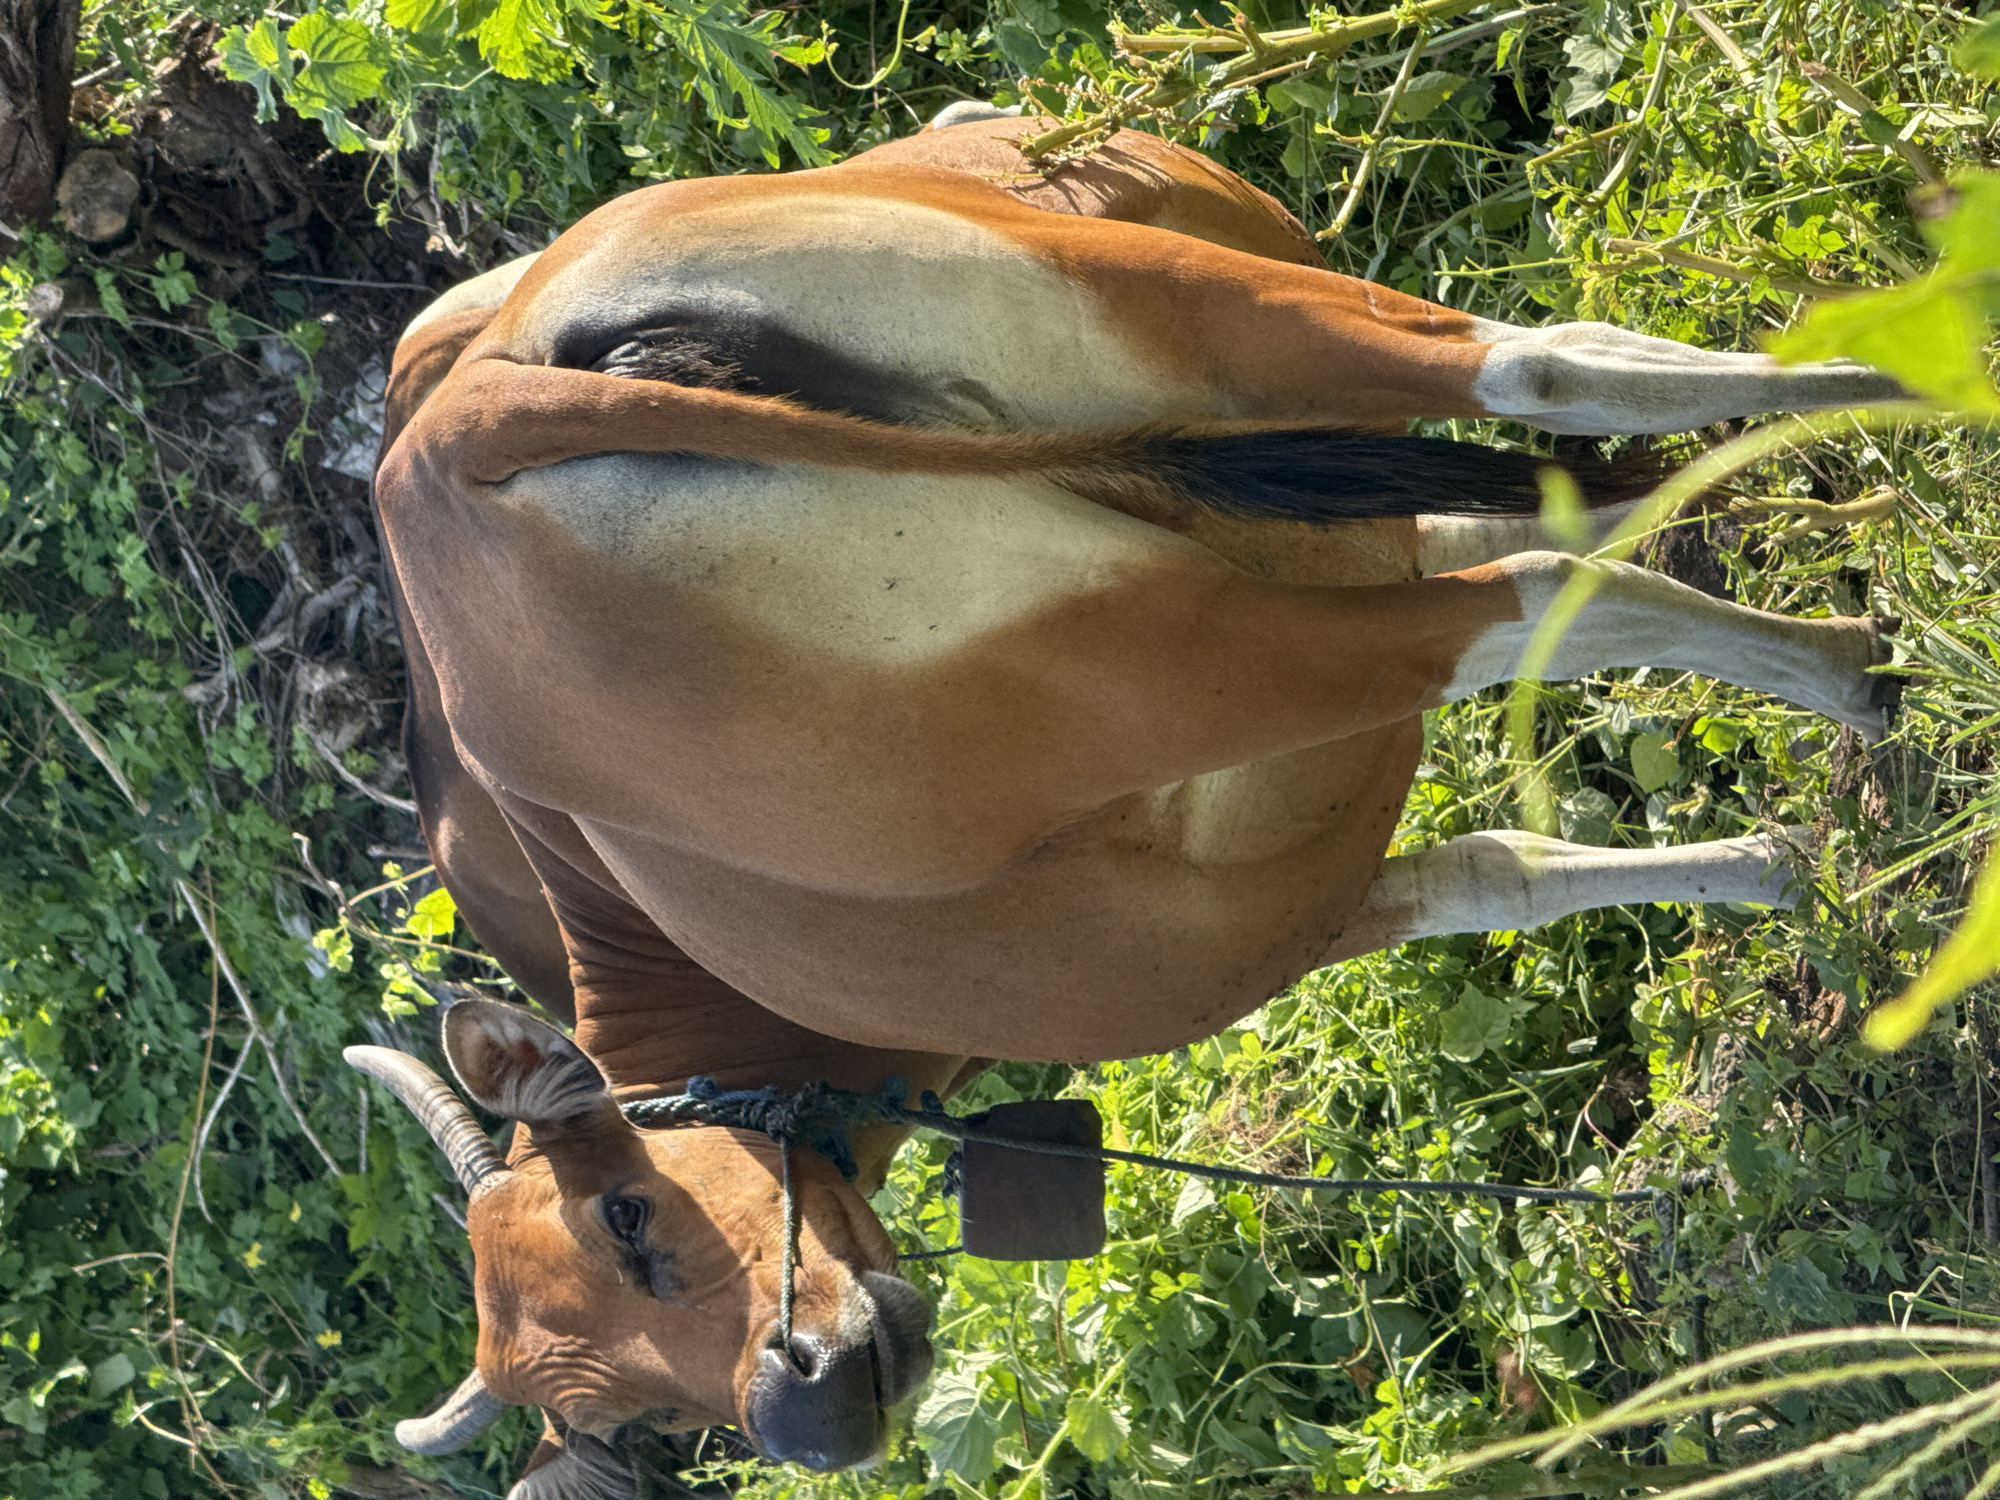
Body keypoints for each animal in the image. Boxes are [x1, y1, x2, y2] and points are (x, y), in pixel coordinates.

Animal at [349, 105, 1901, 1496]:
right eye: (639, 1421)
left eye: (629, 1210)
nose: (810, 1407)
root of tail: (471, 429)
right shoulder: (1296, 900)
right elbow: (1503, 849)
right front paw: (1772, 857)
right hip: (1220, 585)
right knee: (1551, 489)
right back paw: (1864, 570)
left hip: (1192, 381)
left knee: (1547, 383)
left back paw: (1869, 510)